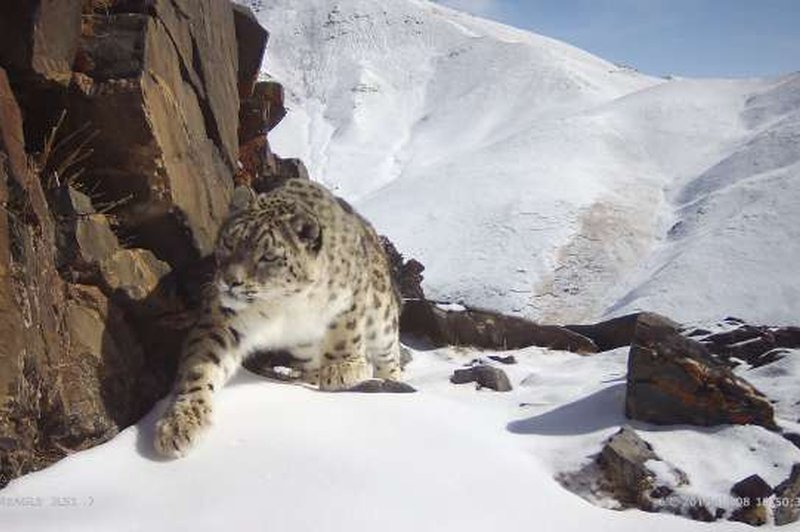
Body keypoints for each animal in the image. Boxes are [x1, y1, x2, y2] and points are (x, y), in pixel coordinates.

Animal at [153, 178, 404, 458]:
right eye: (229, 242)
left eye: (268, 256)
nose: (230, 282)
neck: (284, 306)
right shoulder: (223, 320)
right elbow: (201, 365)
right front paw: (181, 422)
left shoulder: (351, 297)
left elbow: (344, 333)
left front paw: (342, 368)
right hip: (304, 347)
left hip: (382, 317)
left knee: (388, 352)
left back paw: (390, 378)